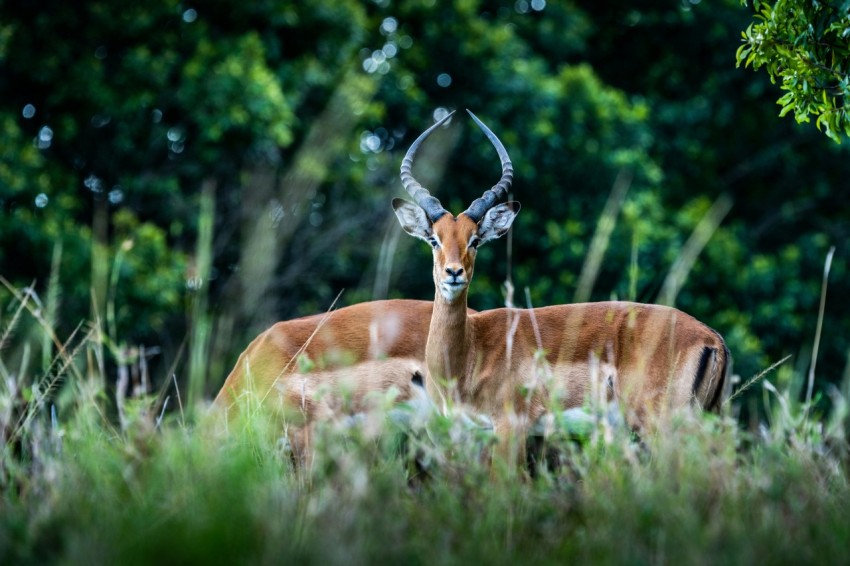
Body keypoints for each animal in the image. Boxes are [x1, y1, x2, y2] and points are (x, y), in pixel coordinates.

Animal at [392, 109, 730, 467]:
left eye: (474, 240)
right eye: (434, 239)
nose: (454, 273)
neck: (471, 351)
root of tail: (713, 339)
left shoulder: (511, 426)